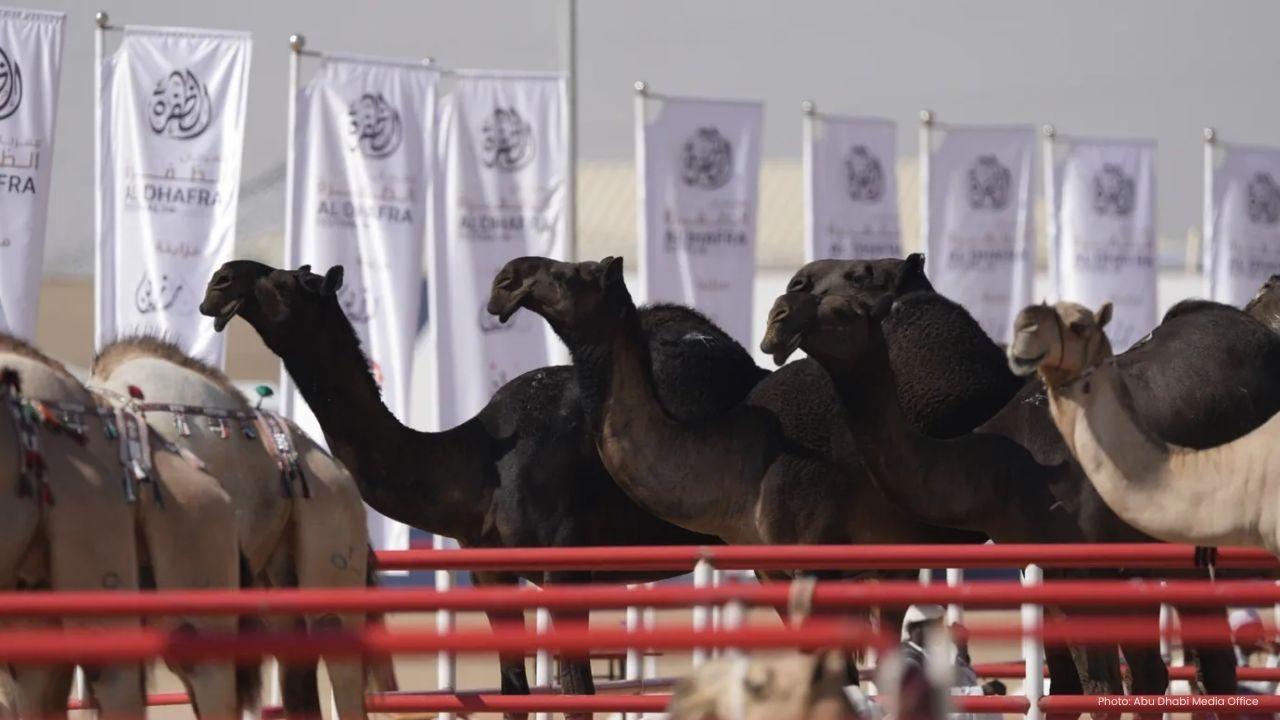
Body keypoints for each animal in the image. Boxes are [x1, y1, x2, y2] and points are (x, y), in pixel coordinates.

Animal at [198, 260, 759, 716]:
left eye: (288, 281)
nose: (219, 280)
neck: (480, 466)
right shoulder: (490, 571)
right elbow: (514, 693)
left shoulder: (568, 566)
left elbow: (578, 695)